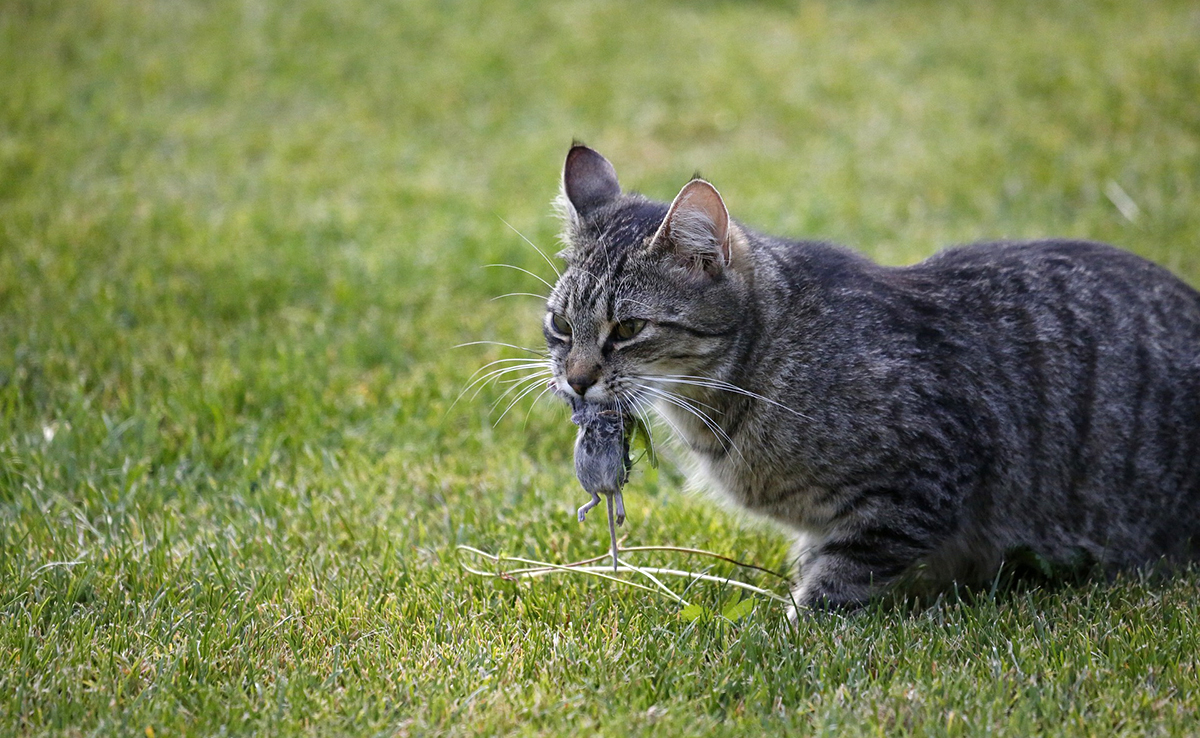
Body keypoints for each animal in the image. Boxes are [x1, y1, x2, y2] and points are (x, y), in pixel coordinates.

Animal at [544, 144, 1200, 619]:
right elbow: (817, 557)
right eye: (560, 325)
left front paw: (792, 630)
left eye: (629, 327)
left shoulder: (922, 479)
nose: (576, 381)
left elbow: (839, 576)